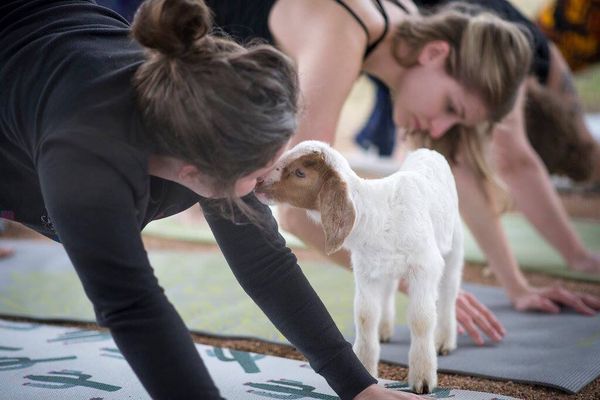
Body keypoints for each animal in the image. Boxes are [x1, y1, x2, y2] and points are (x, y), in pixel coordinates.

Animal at [254, 141, 464, 394]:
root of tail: (428, 151)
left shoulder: (425, 266)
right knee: (389, 289)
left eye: (300, 173)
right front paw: (366, 369)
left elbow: (421, 318)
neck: (375, 215)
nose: (258, 182)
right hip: (385, 268)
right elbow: (365, 316)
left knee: (448, 293)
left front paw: (423, 379)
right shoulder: (366, 270)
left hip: (454, 245)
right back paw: (384, 330)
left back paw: (444, 340)